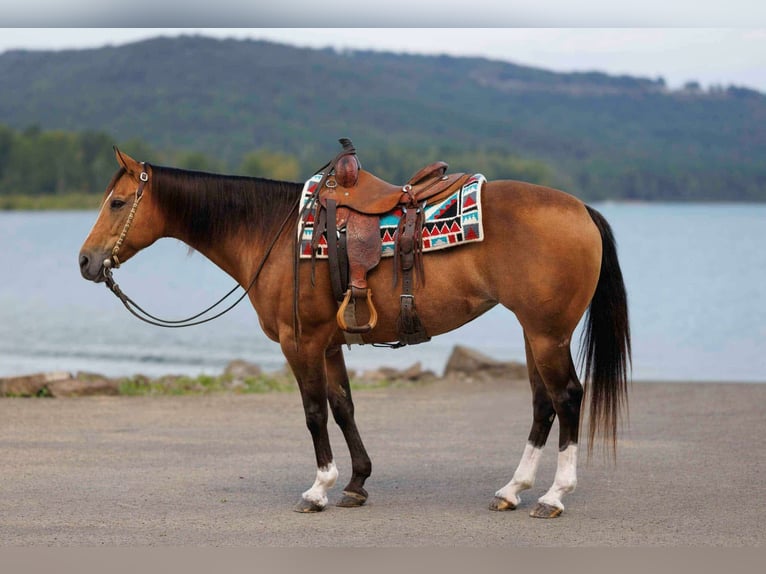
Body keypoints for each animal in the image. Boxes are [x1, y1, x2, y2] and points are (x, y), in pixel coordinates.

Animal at [78, 147, 630, 518]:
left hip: (547, 334)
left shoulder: (299, 342)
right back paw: (512, 490)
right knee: (543, 403)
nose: (85, 261)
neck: (275, 233)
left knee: (567, 397)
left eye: (117, 202)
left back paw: (554, 496)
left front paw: (319, 488)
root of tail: (581, 209)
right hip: (534, 333)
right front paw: (356, 483)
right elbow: (343, 407)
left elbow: (314, 413)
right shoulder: (328, 344)